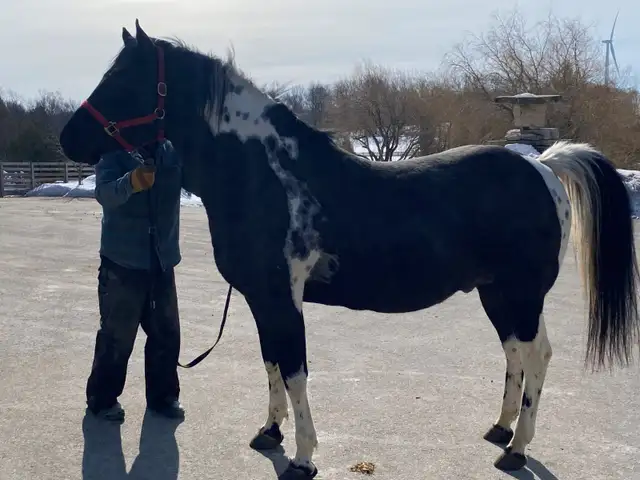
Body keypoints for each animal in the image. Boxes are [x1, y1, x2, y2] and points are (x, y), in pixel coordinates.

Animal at [58, 20, 640, 479]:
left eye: (123, 81)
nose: (67, 139)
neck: (268, 177)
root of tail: (543, 164)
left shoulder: (282, 298)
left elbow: (295, 369)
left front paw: (303, 458)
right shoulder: (262, 300)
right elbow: (272, 362)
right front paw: (269, 432)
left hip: (521, 295)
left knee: (537, 354)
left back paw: (516, 451)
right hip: (495, 293)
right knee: (515, 353)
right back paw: (499, 429)